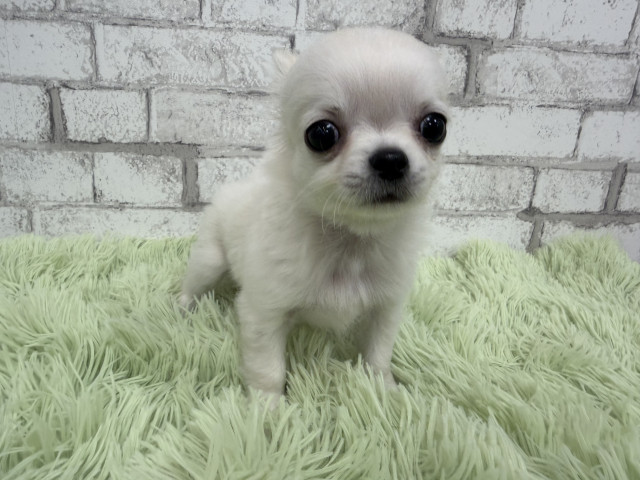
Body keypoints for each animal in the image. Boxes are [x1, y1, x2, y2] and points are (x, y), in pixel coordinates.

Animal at [180, 28, 449, 407]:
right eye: (322, 134)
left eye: (435, 127)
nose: (391, 159)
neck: (349, 241)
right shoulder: (263, 312)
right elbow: (268, 368)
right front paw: (266, 410)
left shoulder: (386, 307)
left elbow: (379, 355)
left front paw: (386, 394)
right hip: (209, 259)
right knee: (191, 287)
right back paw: (182, 311)